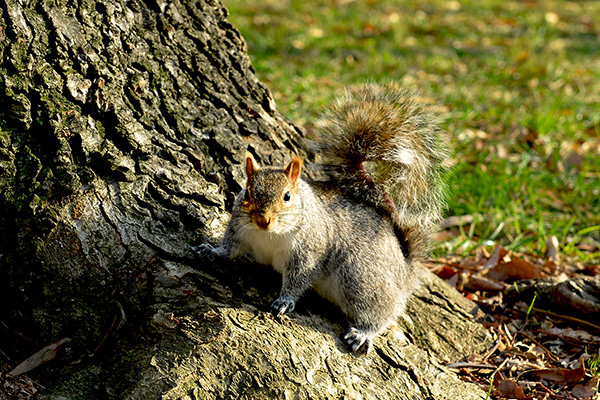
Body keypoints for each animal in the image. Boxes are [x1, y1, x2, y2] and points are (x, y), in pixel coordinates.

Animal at [197, 82, 450, 354]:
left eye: (287, 196)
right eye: (247, 193)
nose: (262, 220)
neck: (270, 235)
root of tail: (405, 269)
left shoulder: (311, 249)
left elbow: (300, 277)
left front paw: (285, 300)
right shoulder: (239, 229)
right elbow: (230, 248)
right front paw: (211, 251)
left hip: (360, 276)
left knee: (383, 309)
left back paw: (363, 332)